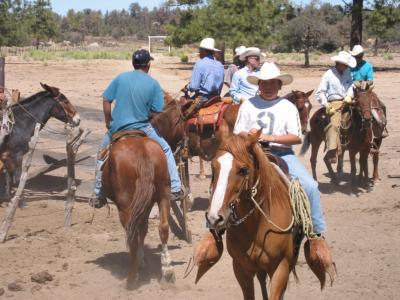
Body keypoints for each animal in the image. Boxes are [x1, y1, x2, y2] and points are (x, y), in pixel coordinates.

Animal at [101, 133, 175, 288]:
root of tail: (142, 151)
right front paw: (142, 259)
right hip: (164, 194)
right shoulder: (147, 204)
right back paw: (167, 270)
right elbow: (144, 228)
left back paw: (131, 278)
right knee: (163, 227)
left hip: (125, 206)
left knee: (132, 236)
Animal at [206, 134, 322, 300]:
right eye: (213, 167)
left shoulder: (281, 266)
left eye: (243, 170)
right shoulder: (240, 268)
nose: (215, 217)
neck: (257, 224)